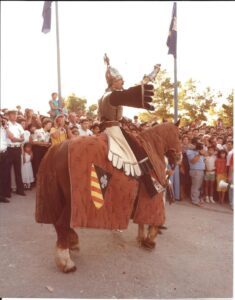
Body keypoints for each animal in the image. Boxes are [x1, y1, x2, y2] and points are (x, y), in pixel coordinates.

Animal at [35, 120, 182, 274]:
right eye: (179, 135)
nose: (179, 158)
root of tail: (56, 149)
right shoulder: (153, 200)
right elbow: (153, 220)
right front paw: (150, 241)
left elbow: (142, 220)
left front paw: (142, 238)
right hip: (71, 202)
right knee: (61, 224)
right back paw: (66, 262)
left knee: (58, 224)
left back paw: (72, 243)